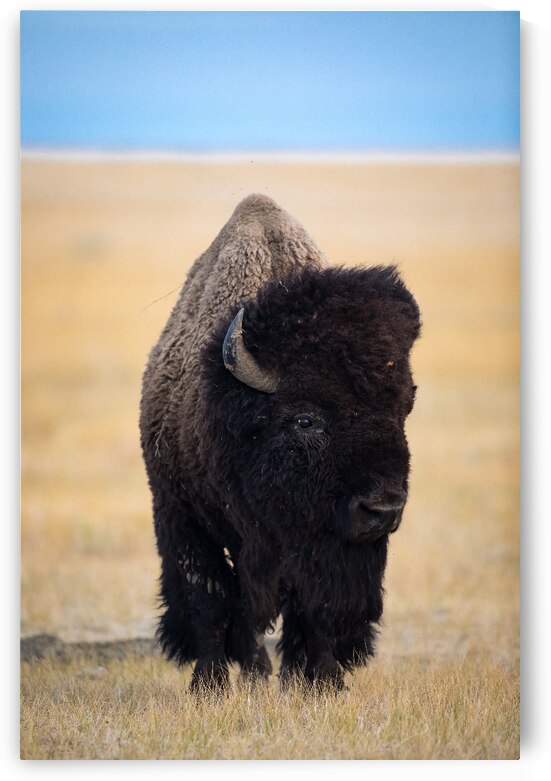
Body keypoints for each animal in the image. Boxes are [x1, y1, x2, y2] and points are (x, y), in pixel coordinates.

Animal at [140, 194, 420, 691]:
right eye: (305, 420)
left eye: (404, 408)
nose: (382, 510)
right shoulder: (180, 517)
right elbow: (209, 600)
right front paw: (209, 686)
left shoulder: (318, 545)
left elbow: (316, 608)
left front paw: (324, 682)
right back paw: (254, 673)